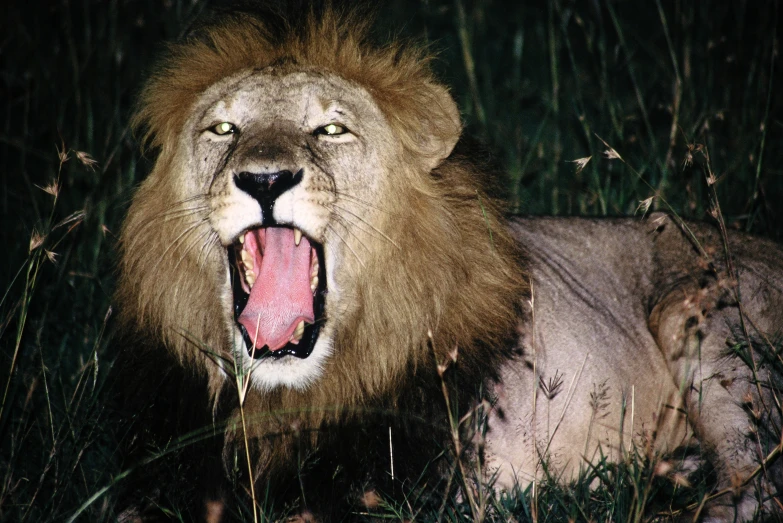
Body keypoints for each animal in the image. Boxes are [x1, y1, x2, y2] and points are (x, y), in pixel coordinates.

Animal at [118, 6, 783, 520]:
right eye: (222, 129)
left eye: (331, 129)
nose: (265, 179)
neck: (291, 396)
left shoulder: (433, 490)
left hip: (701, 323)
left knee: (755, 489)